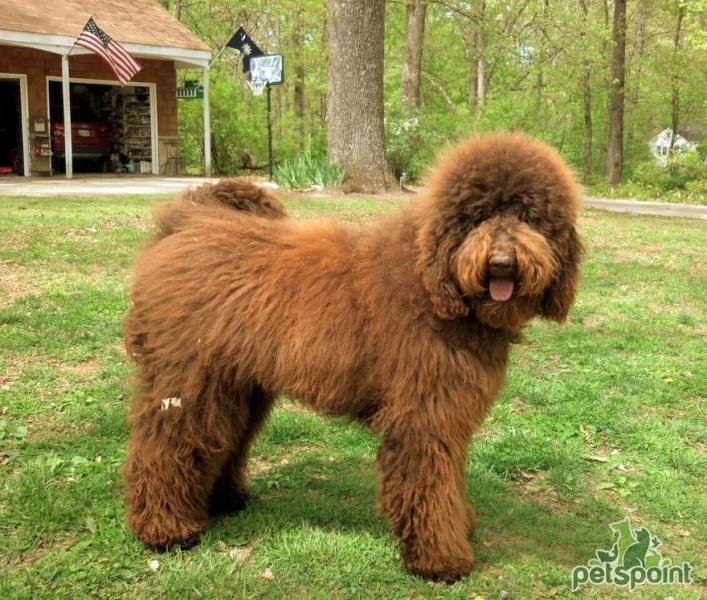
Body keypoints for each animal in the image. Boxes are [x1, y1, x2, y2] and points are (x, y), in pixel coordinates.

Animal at [124, 133, 582, 582]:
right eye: (478, 216)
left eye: (528, 215)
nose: (502, 262)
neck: (431, 280)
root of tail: (184, 223)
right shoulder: (424, 416)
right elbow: (430, 485)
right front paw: (441, 560)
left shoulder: (448, 413)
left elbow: (450, 477)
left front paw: (461, 524)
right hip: (186, 382)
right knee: (165, 446)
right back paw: (165, 530)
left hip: (236, 387)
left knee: (220, 440)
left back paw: (222, 500)